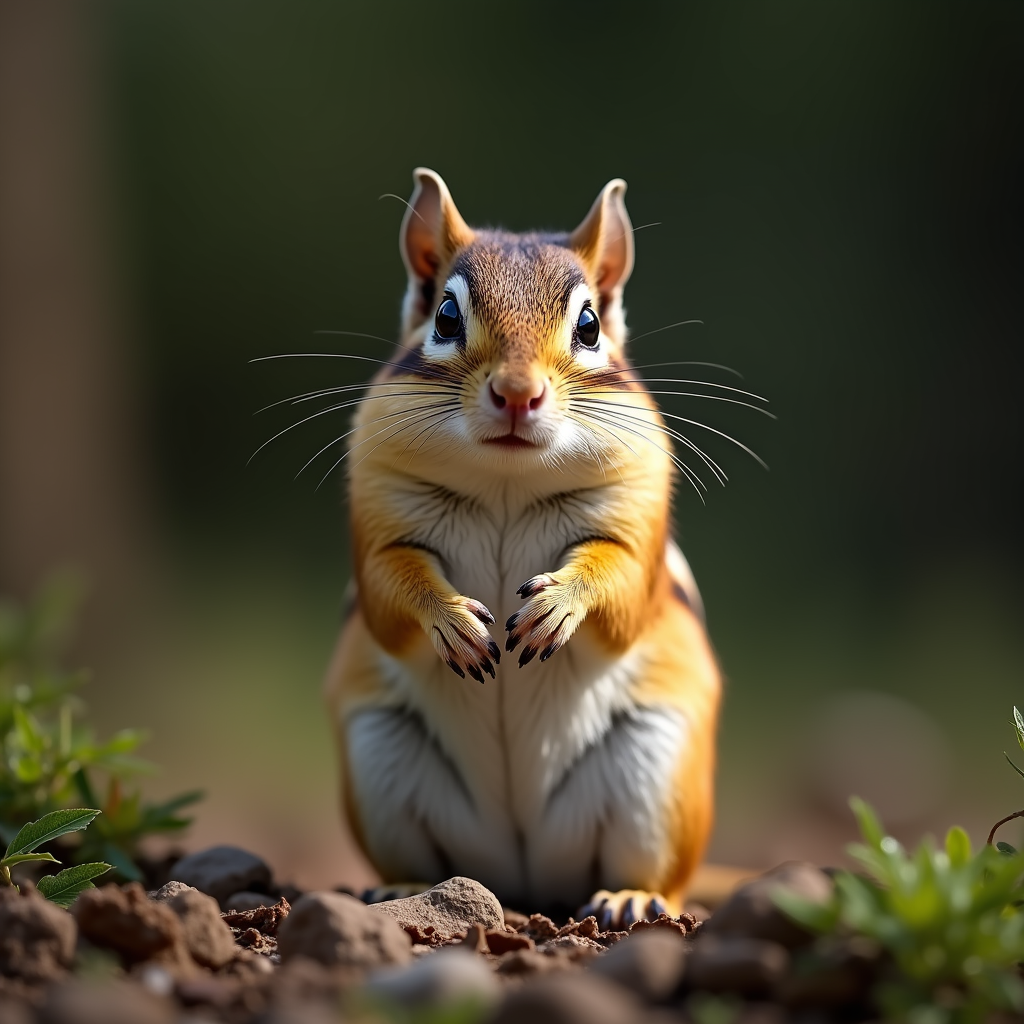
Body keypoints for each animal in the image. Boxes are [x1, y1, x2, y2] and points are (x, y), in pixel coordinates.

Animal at [323, 169, 721, 927]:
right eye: (446, 317)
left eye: (589, 326)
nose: (516, 393)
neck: (506, 483)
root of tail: (523, 873)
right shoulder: (379, 518)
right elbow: (392, 585)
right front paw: (452, 620)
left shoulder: (634, 521)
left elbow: (620, 581)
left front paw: (558, 606)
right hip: (379, 754)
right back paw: (400, 889)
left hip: (656, 770)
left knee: (661, 876)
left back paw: (632, 897)